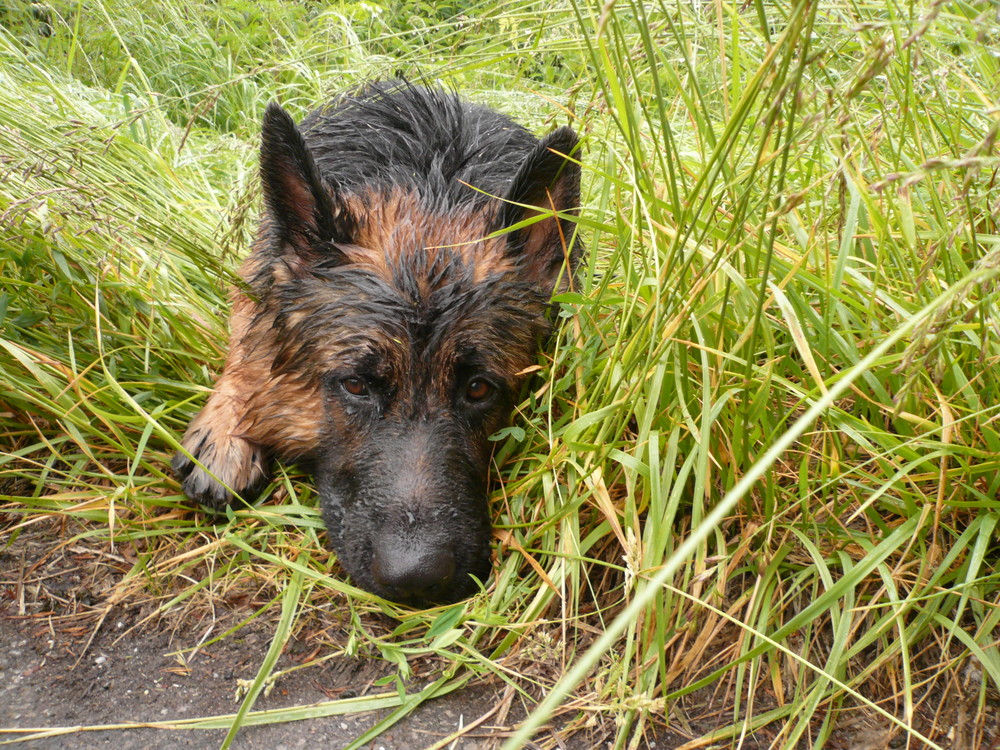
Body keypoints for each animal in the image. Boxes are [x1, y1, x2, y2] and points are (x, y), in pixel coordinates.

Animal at [172, 81, 580, 604]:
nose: (417, 580)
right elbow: (247, 344)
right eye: (355, 385)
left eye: (478, 389)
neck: (431, 185)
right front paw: (226, 428)